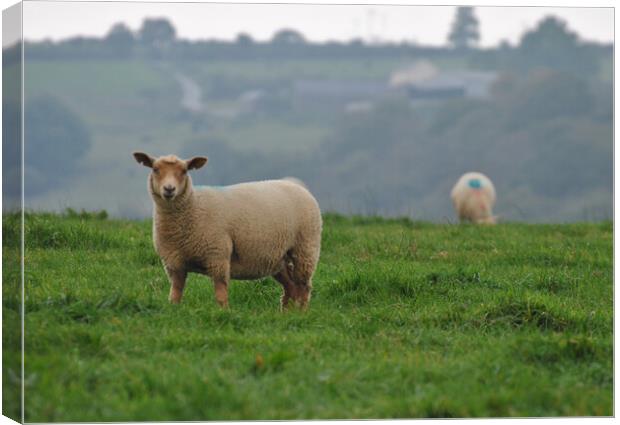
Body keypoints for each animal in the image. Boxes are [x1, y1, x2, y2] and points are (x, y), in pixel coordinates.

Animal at [133, 152, 322, 308]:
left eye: (184, 171)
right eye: (155, 169)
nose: (169, 189)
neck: (192, 207)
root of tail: (297, 185)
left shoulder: (218, 255)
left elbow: (220, 293)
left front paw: (224, 313)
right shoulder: (174, 263)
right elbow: (175, 293)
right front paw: (174, 310)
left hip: (305, 247)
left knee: (304, 286)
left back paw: (301, 313)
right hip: (278, 257)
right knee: (290, 287)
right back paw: (286, 314)